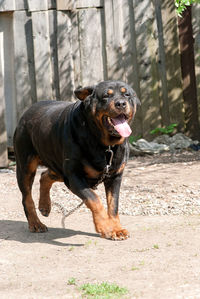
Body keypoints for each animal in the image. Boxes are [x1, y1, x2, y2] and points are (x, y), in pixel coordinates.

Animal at [13, 80, 139, 241]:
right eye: (106, 96)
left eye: (127, 94)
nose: (121, 103)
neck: (103, 143)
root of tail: (27, 112)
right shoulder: (74, 176)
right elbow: (94, 199)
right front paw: (105, 227)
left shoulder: (115, 176)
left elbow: (113, 205)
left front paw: (117, 229)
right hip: (26, 166)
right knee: (27, 197)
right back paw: (36, 223)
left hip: (58, 167)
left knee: (45, 176)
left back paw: (45, 206)